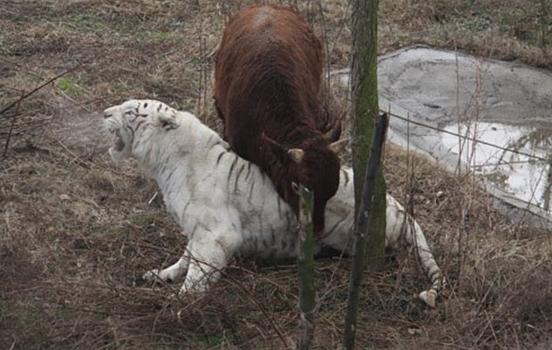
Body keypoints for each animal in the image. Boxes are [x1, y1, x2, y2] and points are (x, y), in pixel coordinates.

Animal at [102, 98, 444, 306]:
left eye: (130, 111)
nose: (104, 113)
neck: (165, 160)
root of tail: (400, 208)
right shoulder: (197, 230)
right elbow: (187, 258)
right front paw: (163, 275)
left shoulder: (216, 234)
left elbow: (198, 273)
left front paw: (178, 304)